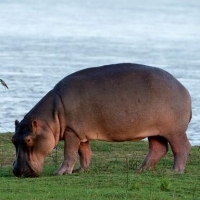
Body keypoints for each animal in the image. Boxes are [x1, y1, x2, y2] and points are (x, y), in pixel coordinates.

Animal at [11, 63, 191, 177]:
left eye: (28, 139)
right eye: (13, 139)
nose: (17, 171)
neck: (51, 117)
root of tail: (184, 88)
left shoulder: (71, 132)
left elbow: (69, 153)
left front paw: (60, 172)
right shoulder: (80, 133)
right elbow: (84, 153)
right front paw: (81, 171)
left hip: (175, 131)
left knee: (181, 148)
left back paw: (175, 171)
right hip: (155, 131)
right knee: (158, 148)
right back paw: (141, 169)